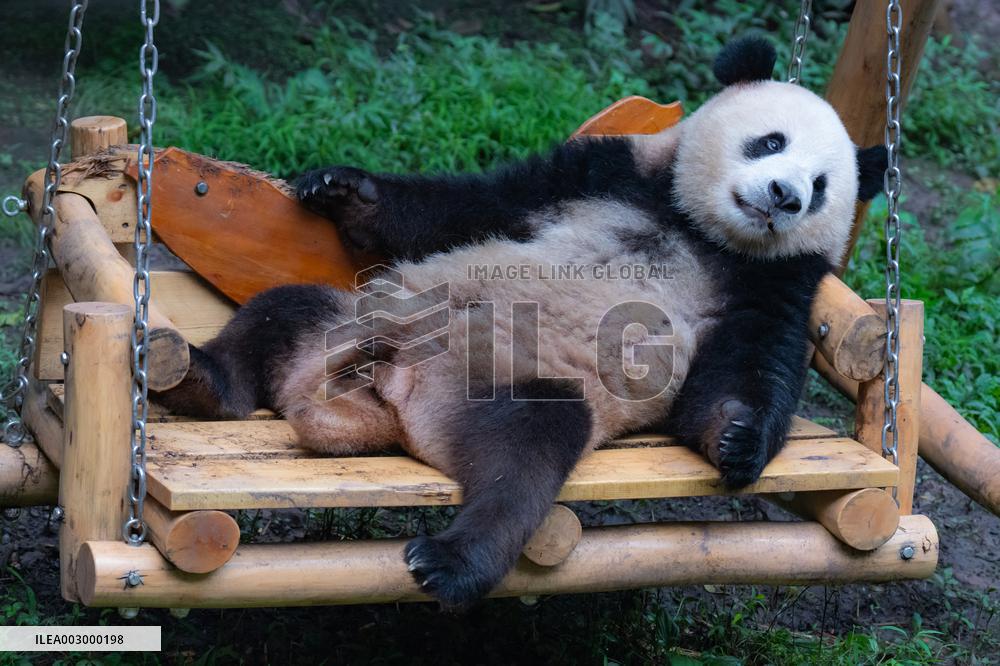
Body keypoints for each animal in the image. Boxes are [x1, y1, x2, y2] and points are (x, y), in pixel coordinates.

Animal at [155, 36, 887, 609]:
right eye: (771, 140)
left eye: (822, 185)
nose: (784, 196)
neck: (698, 227)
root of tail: (377, 393)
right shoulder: (598, 172)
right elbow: (464, 207)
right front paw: (340, 187)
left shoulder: (775, 282)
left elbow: (742, 370)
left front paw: (737, 440)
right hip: (355, 313)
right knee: (281, 308)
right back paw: (198, 379)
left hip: (488, 387)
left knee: (525, 453)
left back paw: (450, 562)